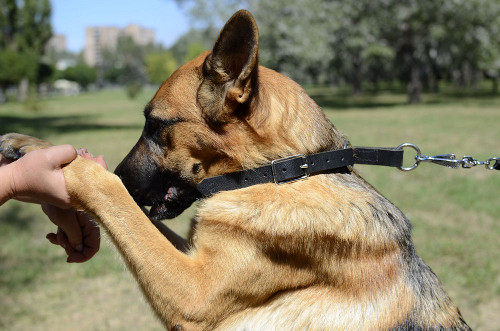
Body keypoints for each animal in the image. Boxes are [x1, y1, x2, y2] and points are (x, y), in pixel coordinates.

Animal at [0, 10, 468, 331]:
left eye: (154, 125)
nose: (123, 172)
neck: (282, 171)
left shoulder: (194, 292)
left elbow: (110, 191)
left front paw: (75, 168)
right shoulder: (192, 257)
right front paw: (28, 145)